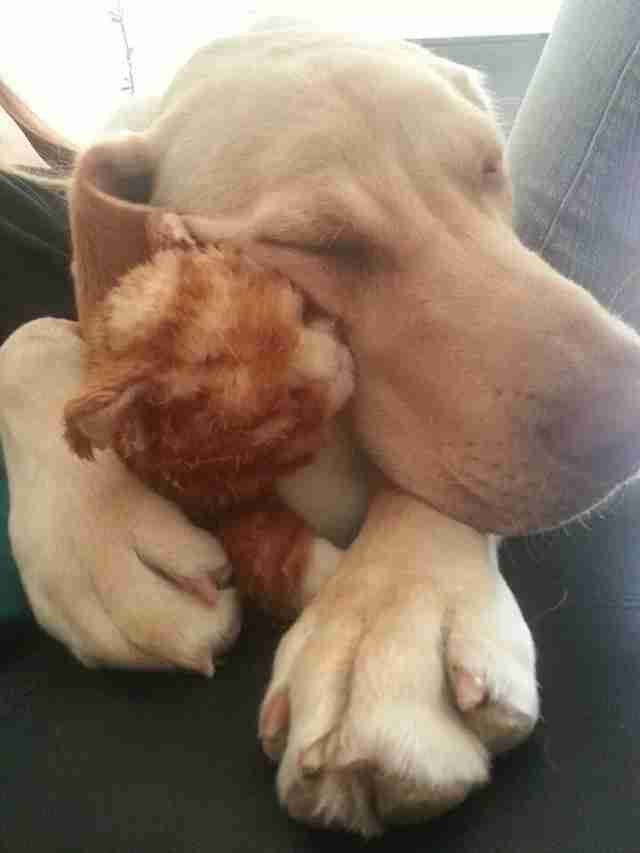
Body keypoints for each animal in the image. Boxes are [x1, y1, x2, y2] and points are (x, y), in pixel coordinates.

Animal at [1, 28, 640, 832]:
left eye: (492, 167)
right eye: (321, 245)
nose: (624, 414)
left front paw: (393, 617)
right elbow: (28, 336)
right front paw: (98, 532)